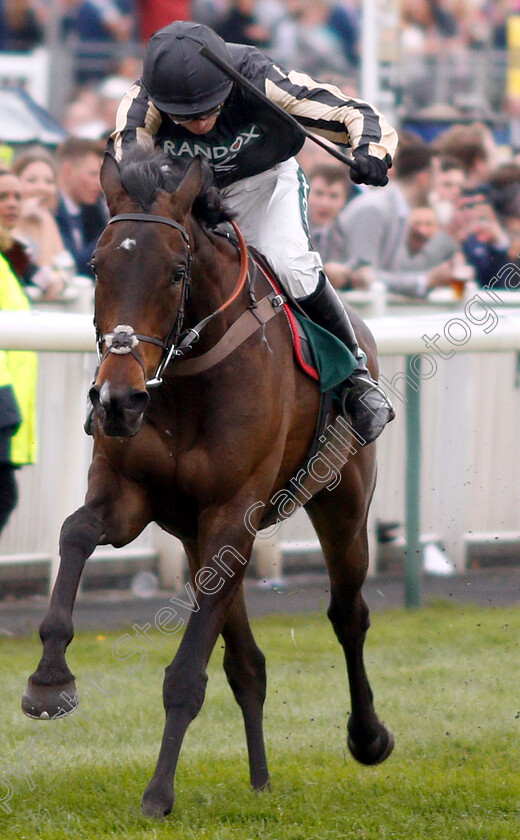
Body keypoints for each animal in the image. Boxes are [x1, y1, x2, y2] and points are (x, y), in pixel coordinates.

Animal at [21, 148, 394, 816]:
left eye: (175, 273)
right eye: (95, 266)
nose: (116, 400)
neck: (190, 376)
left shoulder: (230, 517)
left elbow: (186, 675)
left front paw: (157, 793)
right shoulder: (133, 498)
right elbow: (74, 533)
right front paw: (49, 680)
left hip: (341, 505)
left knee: (348, 614)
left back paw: (367, 736)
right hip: (199, 540)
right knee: (249, 664)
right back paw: (261, 779)